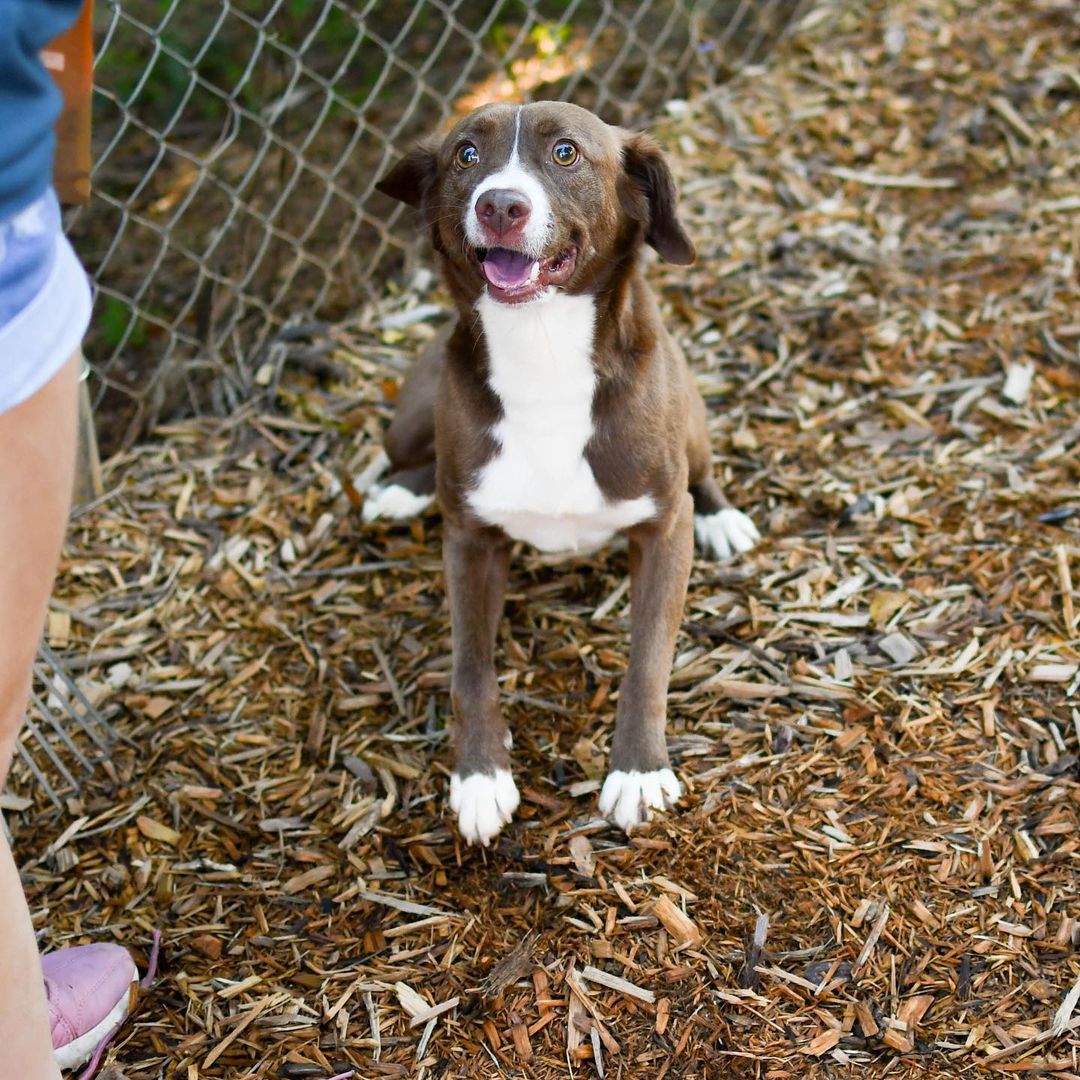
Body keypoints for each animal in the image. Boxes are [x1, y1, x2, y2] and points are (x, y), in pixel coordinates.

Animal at [367, 101, 756, 842]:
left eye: (567, 152)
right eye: (465, 155)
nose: (500, 205)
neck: (541, 352)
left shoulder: (664, 530)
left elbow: (648, 662)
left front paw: (638, 771)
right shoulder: (470, 543)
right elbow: (469, 666)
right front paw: (480, 777)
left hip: (689, 416)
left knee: (703, 472)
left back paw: (723, 517)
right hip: (415, 412)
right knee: (412, 454)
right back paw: (399, 489)